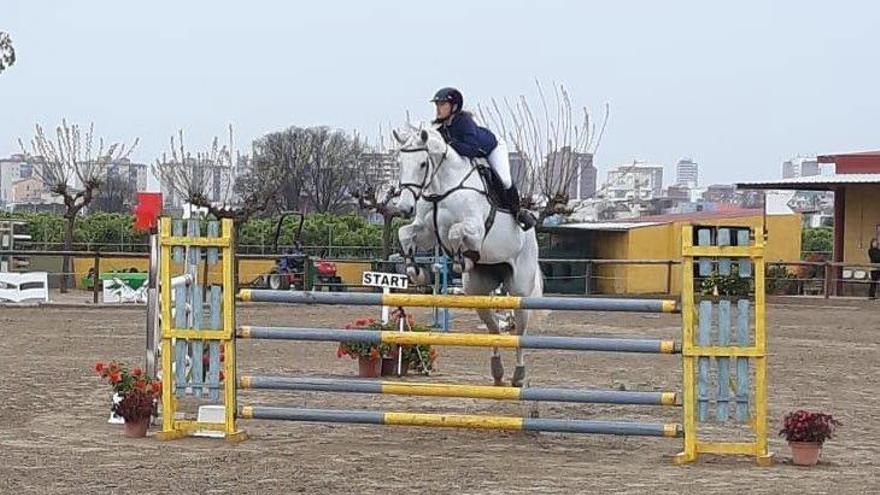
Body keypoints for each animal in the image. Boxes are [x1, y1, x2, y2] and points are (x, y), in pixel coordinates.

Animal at [394, 125, 544, 388]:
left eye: (422, 163)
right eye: (400, 163)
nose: (404, 208)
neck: (443, 186)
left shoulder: (475, 227)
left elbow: (456, 232)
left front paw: (461, 258)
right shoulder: (427, 232)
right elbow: (405, 233)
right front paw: (415, 271)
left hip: (519, 290)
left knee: (518, 332)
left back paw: (518, 375)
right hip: (478, 291)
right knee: (494, 330)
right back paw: (497, 373)